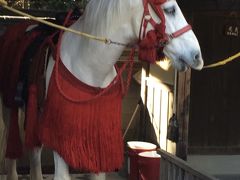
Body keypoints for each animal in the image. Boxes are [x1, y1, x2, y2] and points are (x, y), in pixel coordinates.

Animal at [1, 0, 204, 179]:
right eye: (170, 10)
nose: (197, 56)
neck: (90, 65)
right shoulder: (61, 137)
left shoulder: (98, 141)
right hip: (9, 107)